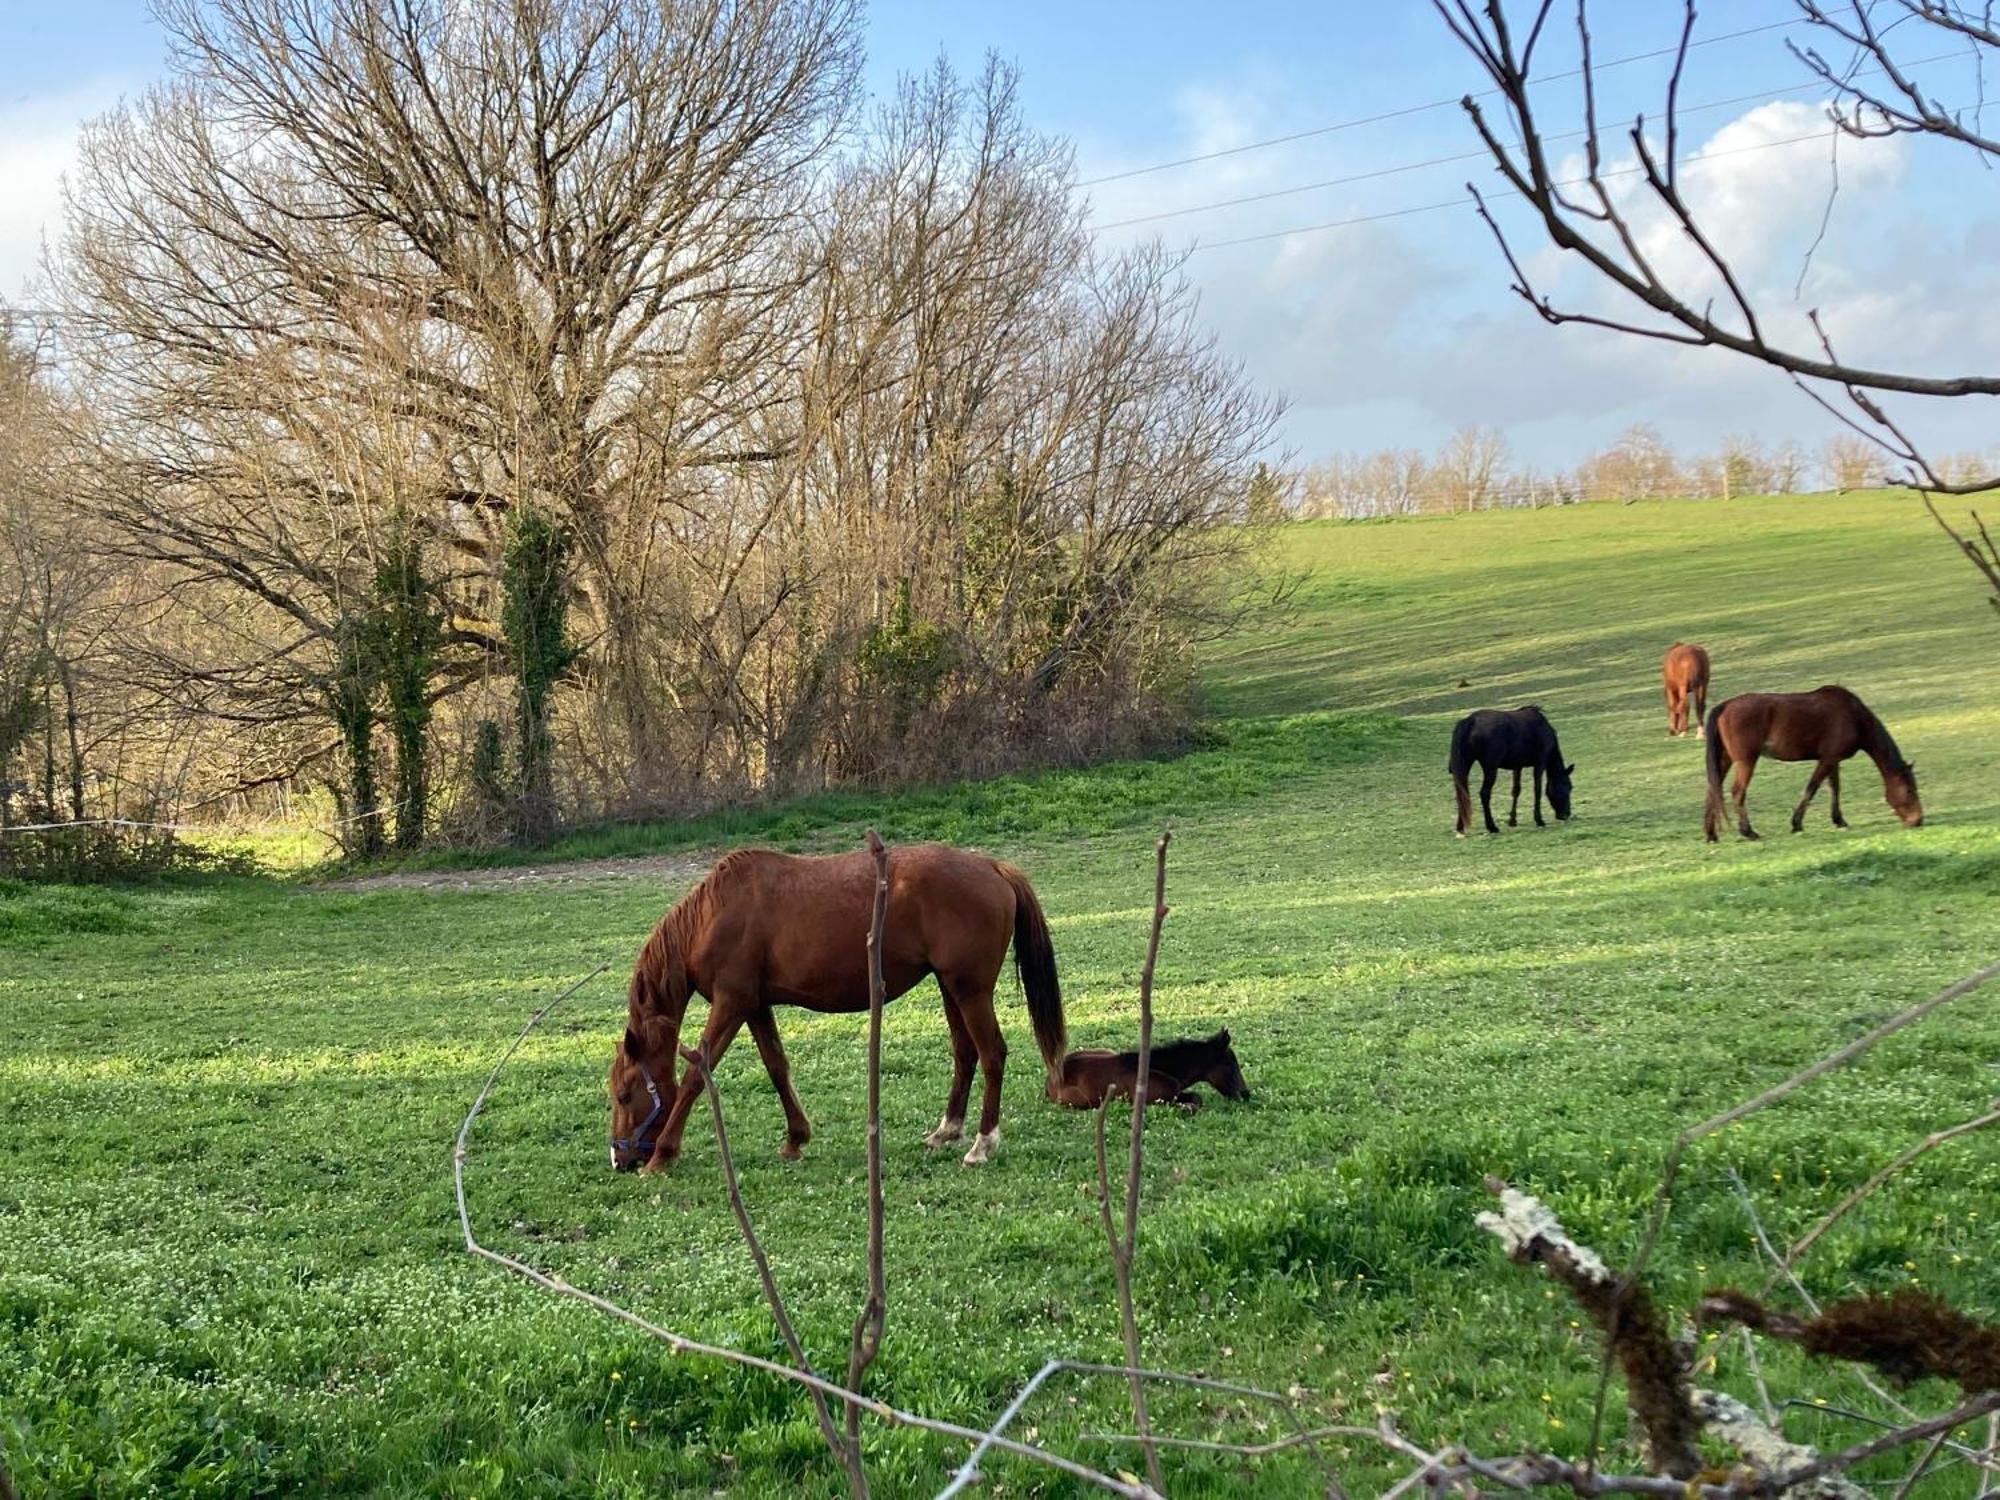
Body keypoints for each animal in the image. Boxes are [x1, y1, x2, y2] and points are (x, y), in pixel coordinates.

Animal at [608, 848, 1072, 1176]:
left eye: (623, 1095)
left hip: (969, 990)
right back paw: (948, 1130)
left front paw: (663, 1156)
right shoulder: (755, 1006)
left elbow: (694, 1077)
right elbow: (777, 1067)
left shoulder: (731, 1003)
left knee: (992, 1055)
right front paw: (796, 1138)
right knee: (966, 1053)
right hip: (950, 987)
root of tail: (993, 867)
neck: (714, 915)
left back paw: (983, 1143)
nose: (620, 1160)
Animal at [1456, 704, 1576, 836]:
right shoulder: (1540, 763)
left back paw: (1461, 828)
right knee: (1484, 793)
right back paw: (1492, 827)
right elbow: (1537, 790)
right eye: (1568, 787)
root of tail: (1472, 720)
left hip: (1466, 765)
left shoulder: (1517, 767)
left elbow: (1516, 791)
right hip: (1490, 769)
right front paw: (1539, 820)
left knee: (1462, 793)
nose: (1566, 814)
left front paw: (1512, 820)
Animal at [1704, 692, 1920, 848]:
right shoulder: (1828, 759)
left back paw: (1711, 834)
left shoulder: (1833, 760)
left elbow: (1834, 788)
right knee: (1737, 792)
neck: (1852, 715)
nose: (1918, 820)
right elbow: (1812, 788)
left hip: (1725, 759)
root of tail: (1726, 705)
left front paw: (1839, 820)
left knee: (1713, 790)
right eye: (1909, 790)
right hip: (1746, 761)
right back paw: (1748, 832)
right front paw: (1796, 823)